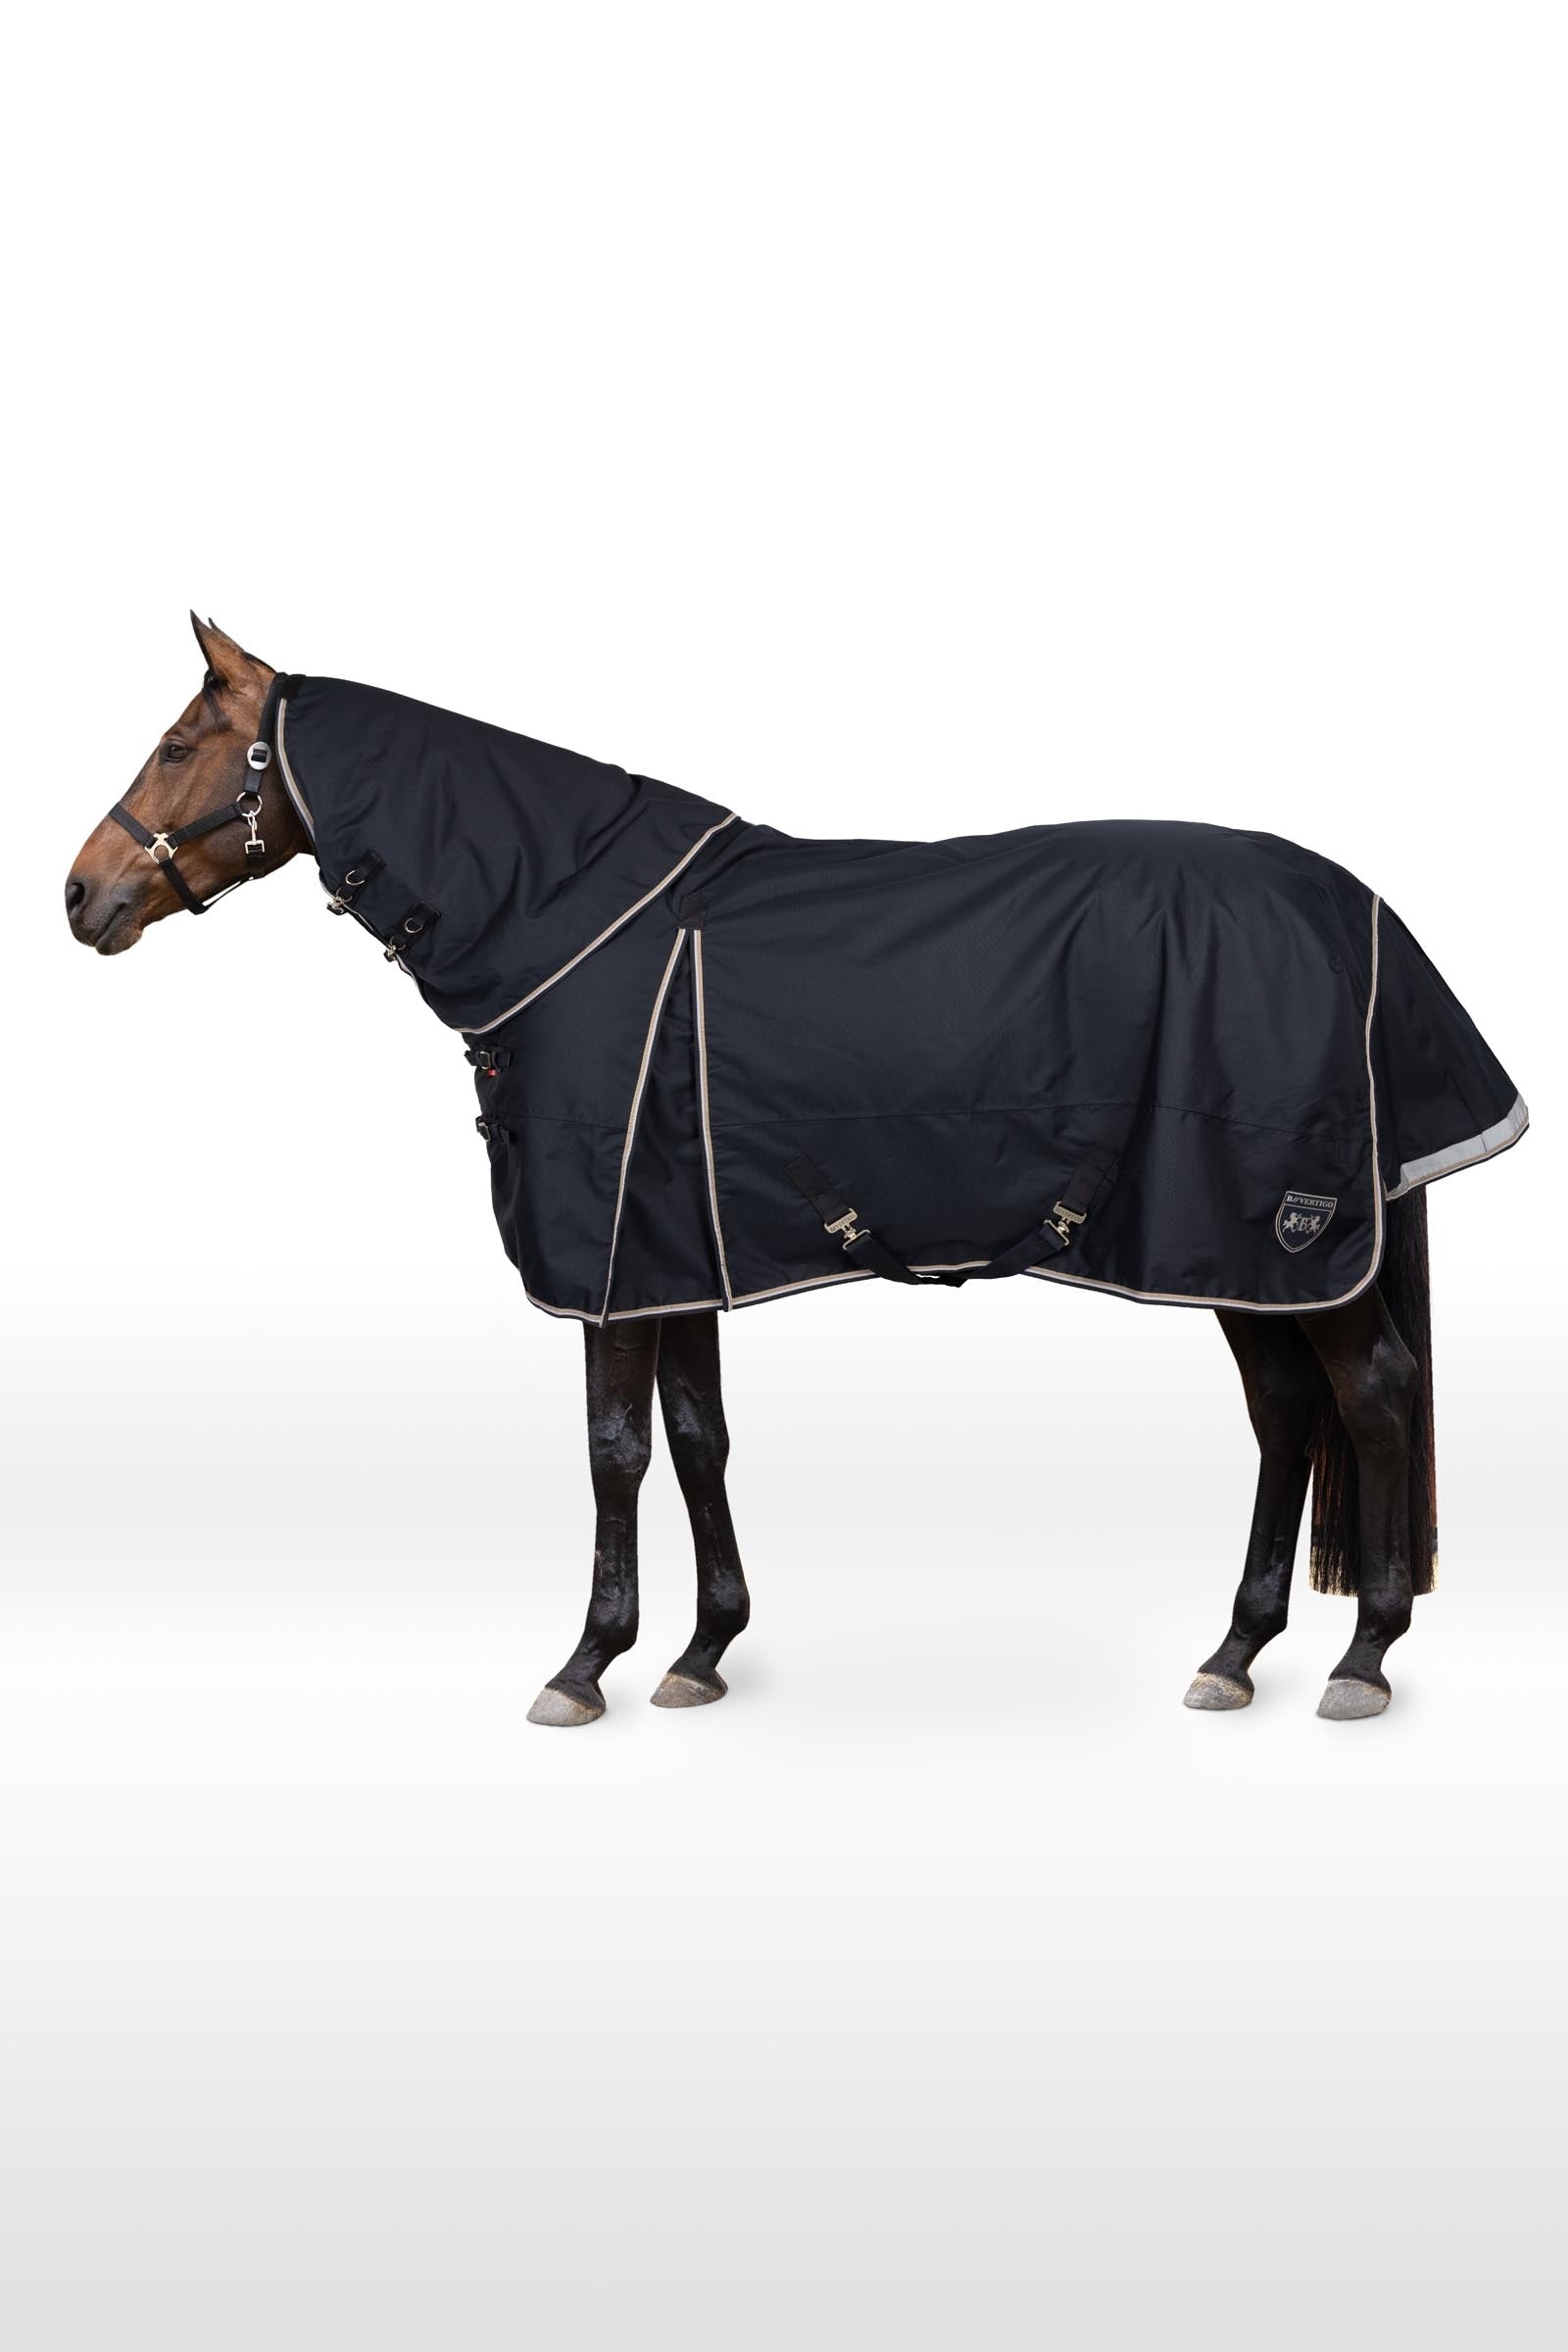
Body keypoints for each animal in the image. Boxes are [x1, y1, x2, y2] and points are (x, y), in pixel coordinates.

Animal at [65, 616, 1526, 1726]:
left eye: (183, 743)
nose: (81, 896)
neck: (565, 916)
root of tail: (1356, 909)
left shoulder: (608, 1265)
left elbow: (612, 1453)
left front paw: (585, 1667)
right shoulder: (673, 1253)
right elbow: (696, 1437)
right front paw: (703, 1652)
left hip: (1292, 1239)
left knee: (1374, 1397)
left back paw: (1361, 1657)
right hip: (1228, 1251)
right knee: (1286, 1411)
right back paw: (1236, 1652)